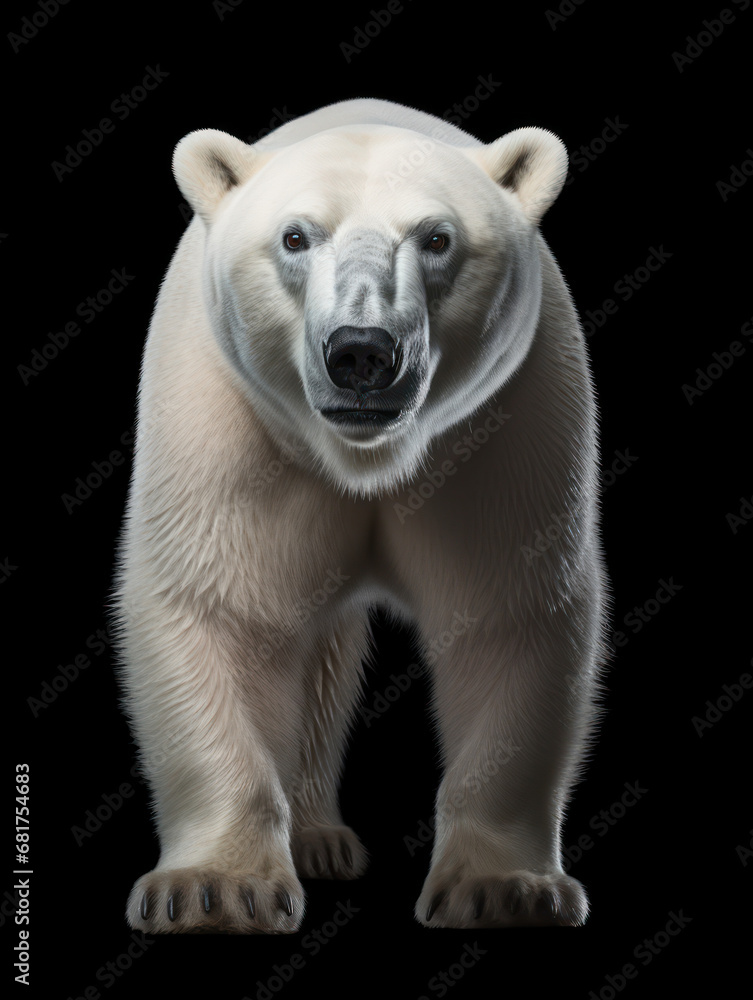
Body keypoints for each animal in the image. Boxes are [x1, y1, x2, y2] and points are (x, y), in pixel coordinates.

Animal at [113, 97, 609, 933]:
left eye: (437, 237)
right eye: (295, 235)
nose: (361, 353)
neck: (366, 458)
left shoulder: (505, 430)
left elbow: (507, 618)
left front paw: (502, 888)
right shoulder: (227, 424)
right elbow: (221, 607)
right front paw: (215, 888)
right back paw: (316, 838)